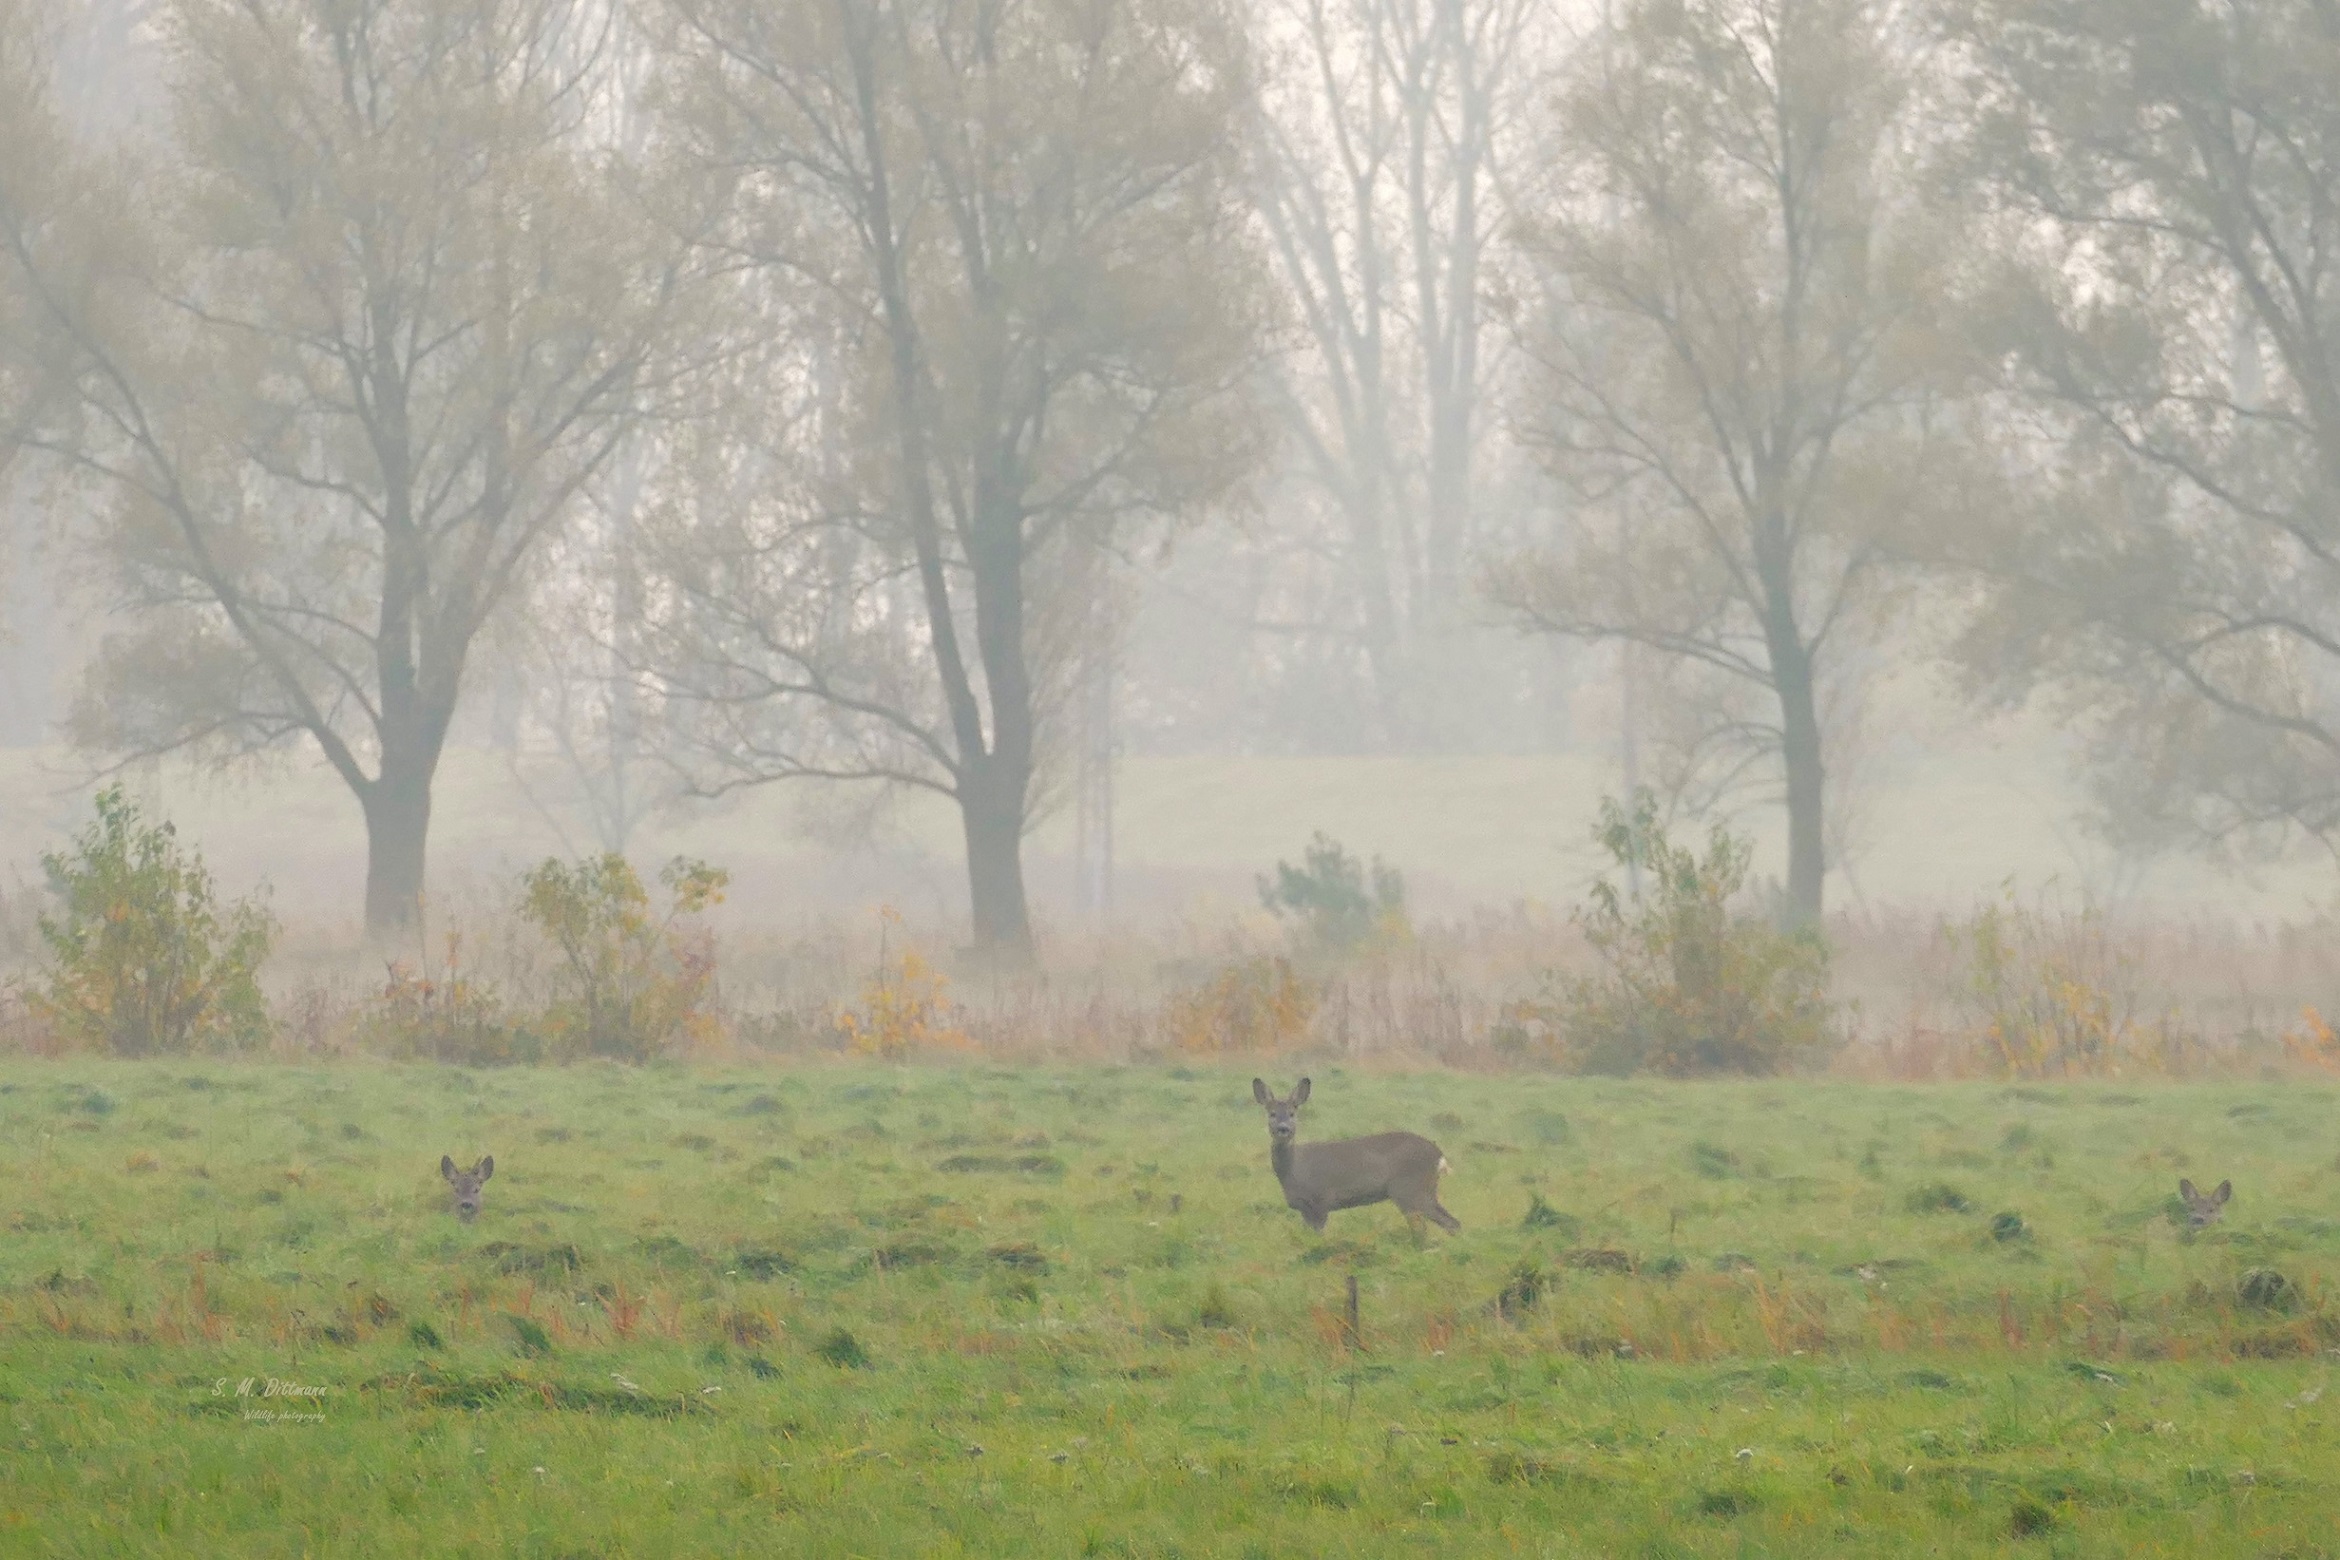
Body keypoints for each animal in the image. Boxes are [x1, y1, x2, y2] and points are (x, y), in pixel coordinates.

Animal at [1254, 1080, 1450, 1234]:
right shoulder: (1304, 1208)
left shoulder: (1321, 1200)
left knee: (1437, 1225)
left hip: (1410, 1189)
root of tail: (1439, 1155)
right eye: (1272, 1113)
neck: (1294, 1170)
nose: (1283, 1128)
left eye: (1292, 1114)